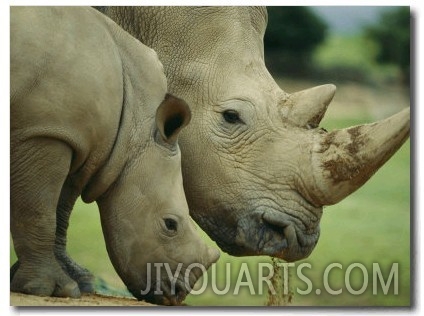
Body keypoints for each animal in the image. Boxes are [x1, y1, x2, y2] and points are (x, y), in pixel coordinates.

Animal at [10, 6, 220, 304]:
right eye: (170, 225)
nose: (177, 295)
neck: (136, 124)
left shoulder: (77, 142)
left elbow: (60, 210)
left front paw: (70, 285)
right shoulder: (45, 131)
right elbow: (39, 211)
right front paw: (51, 289)